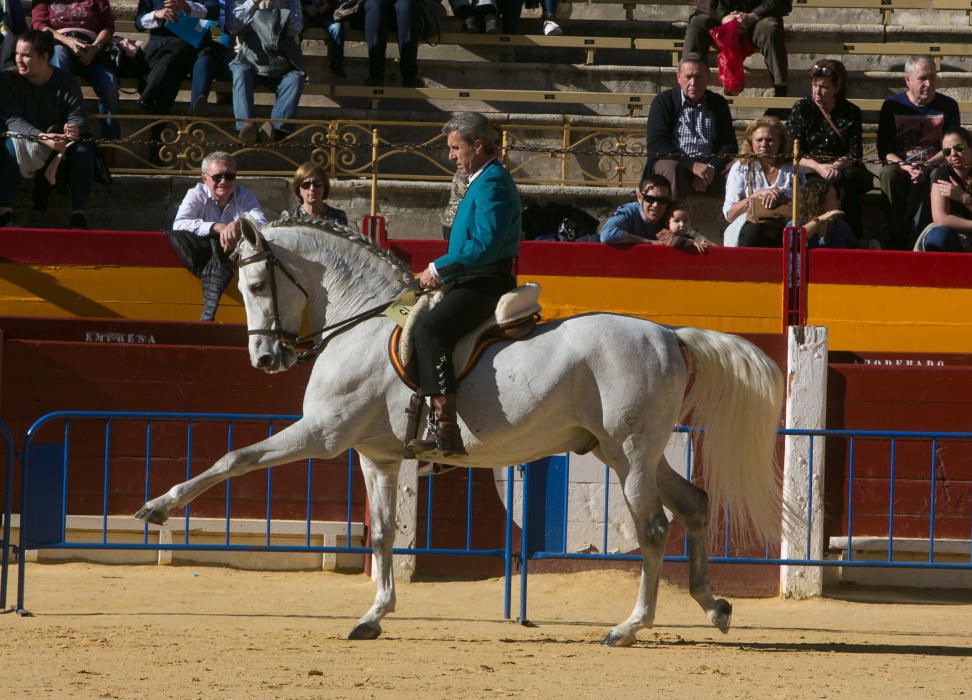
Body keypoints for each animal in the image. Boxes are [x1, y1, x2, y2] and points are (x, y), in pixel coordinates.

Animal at [135, 216, 784, 648]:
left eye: (256, 286)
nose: (266, 359)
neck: (360, 325)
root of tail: (669, 333)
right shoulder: (375, 456)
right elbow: (382, 535)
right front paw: (373, 616)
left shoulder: (321, 434)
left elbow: (235, 457)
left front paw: (158, 508)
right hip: (625, 453)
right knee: (693, 504)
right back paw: (713, 605)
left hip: (629, 452)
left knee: (652, 528)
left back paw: (628, 627)